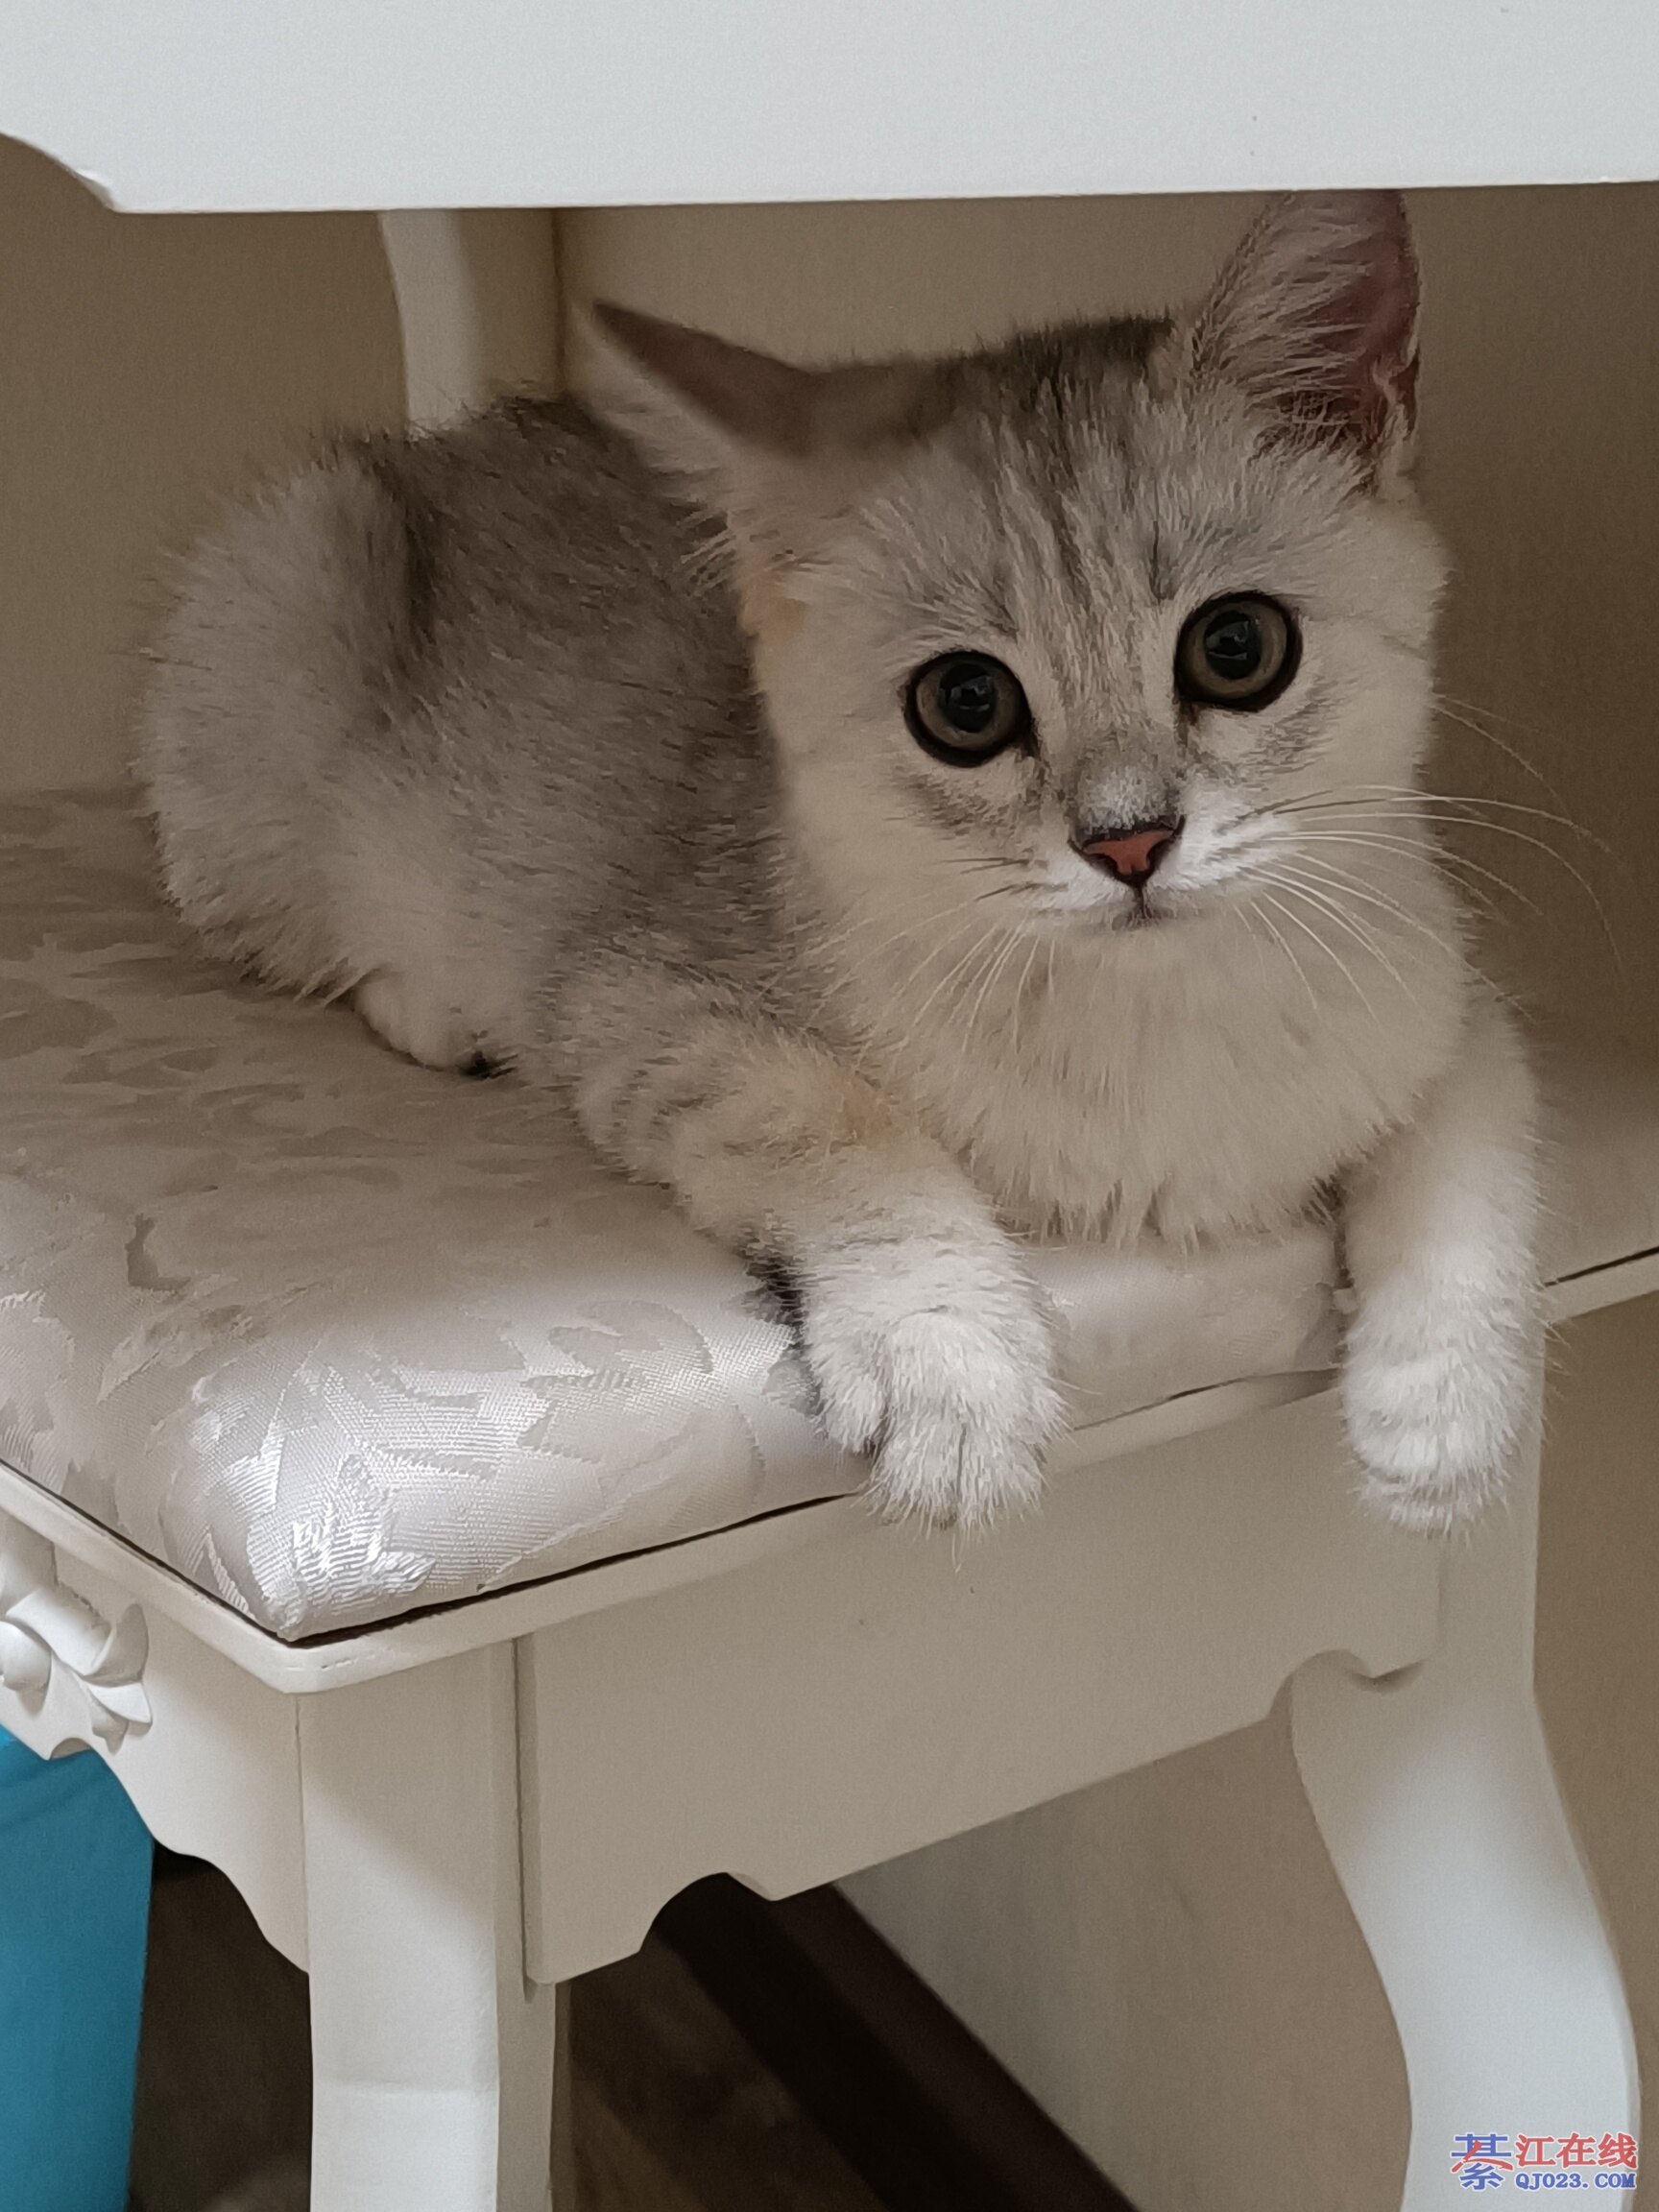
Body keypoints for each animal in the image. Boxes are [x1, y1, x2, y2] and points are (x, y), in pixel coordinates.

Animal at [141, 190, 1540, 1538]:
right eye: (966, 703)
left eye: (1237, 647)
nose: (1129, 842)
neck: (1159, 1023)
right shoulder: (648, 1009)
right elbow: (847, 1132)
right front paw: (952, 1371)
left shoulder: (1440, 989)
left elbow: (1471, 1157)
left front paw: (1443, 1414)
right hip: (288, 648)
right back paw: (435, 1012)